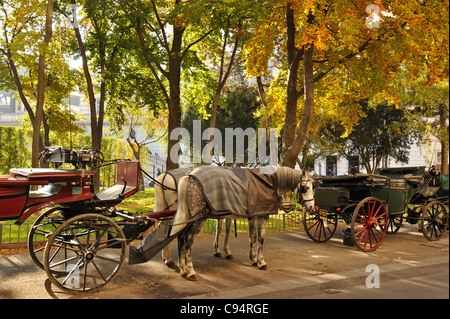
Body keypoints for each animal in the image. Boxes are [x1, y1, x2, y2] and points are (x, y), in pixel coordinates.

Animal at [170, 166, 316, 282]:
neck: (269, 182)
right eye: (305, 188)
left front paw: (254, 259)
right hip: (198, 218)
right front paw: (261, 261)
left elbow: (253, 237)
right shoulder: (262, 216)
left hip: (190, 217)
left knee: (181, 237)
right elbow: (261, 239)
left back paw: (183, 268)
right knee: (188, 240)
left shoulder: (253, 216)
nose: (311, 207)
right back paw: (190, 271)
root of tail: (190, 175)